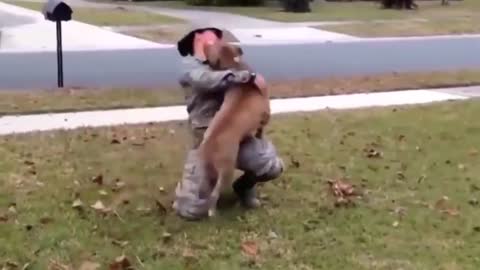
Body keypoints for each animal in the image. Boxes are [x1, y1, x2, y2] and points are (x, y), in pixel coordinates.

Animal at [196, 40, 270, 217]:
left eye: (213, 44)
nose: (205, 44)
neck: (234, 65)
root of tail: (211, 144)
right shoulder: (266, 113)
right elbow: (261, 129)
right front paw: (259, 137)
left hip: (206, 170)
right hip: (227, 171)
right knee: (215, 194)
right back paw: (213, 212)